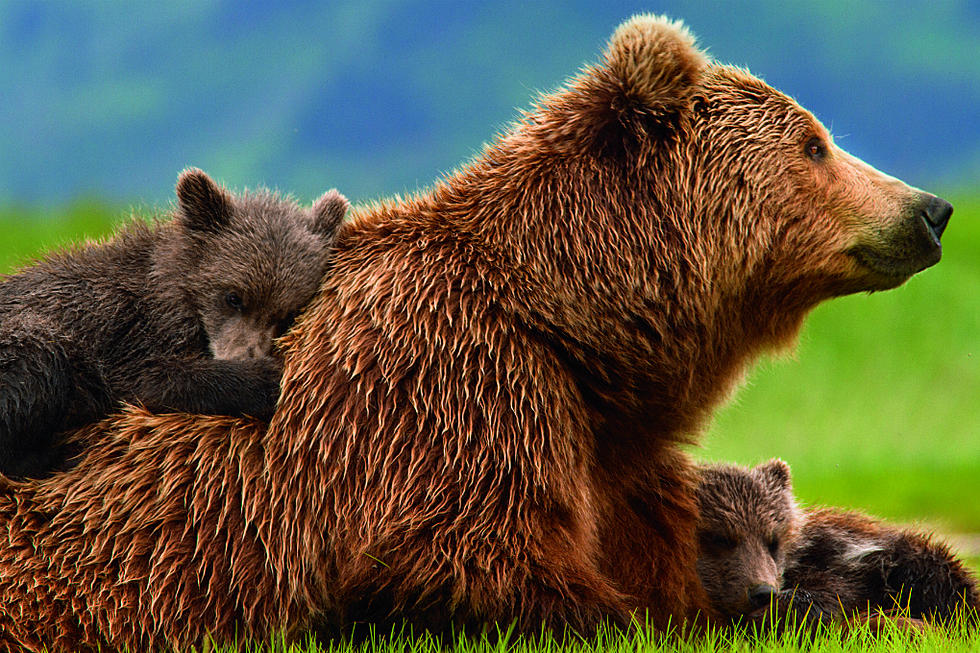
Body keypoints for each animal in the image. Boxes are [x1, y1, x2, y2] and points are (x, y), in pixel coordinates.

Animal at [0, 12, 952, 648]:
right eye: (814, 143)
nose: (931, 209)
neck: (572, 319)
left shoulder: (602, 451)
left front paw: (886, 585)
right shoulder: (456, 398)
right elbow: (494, 568)